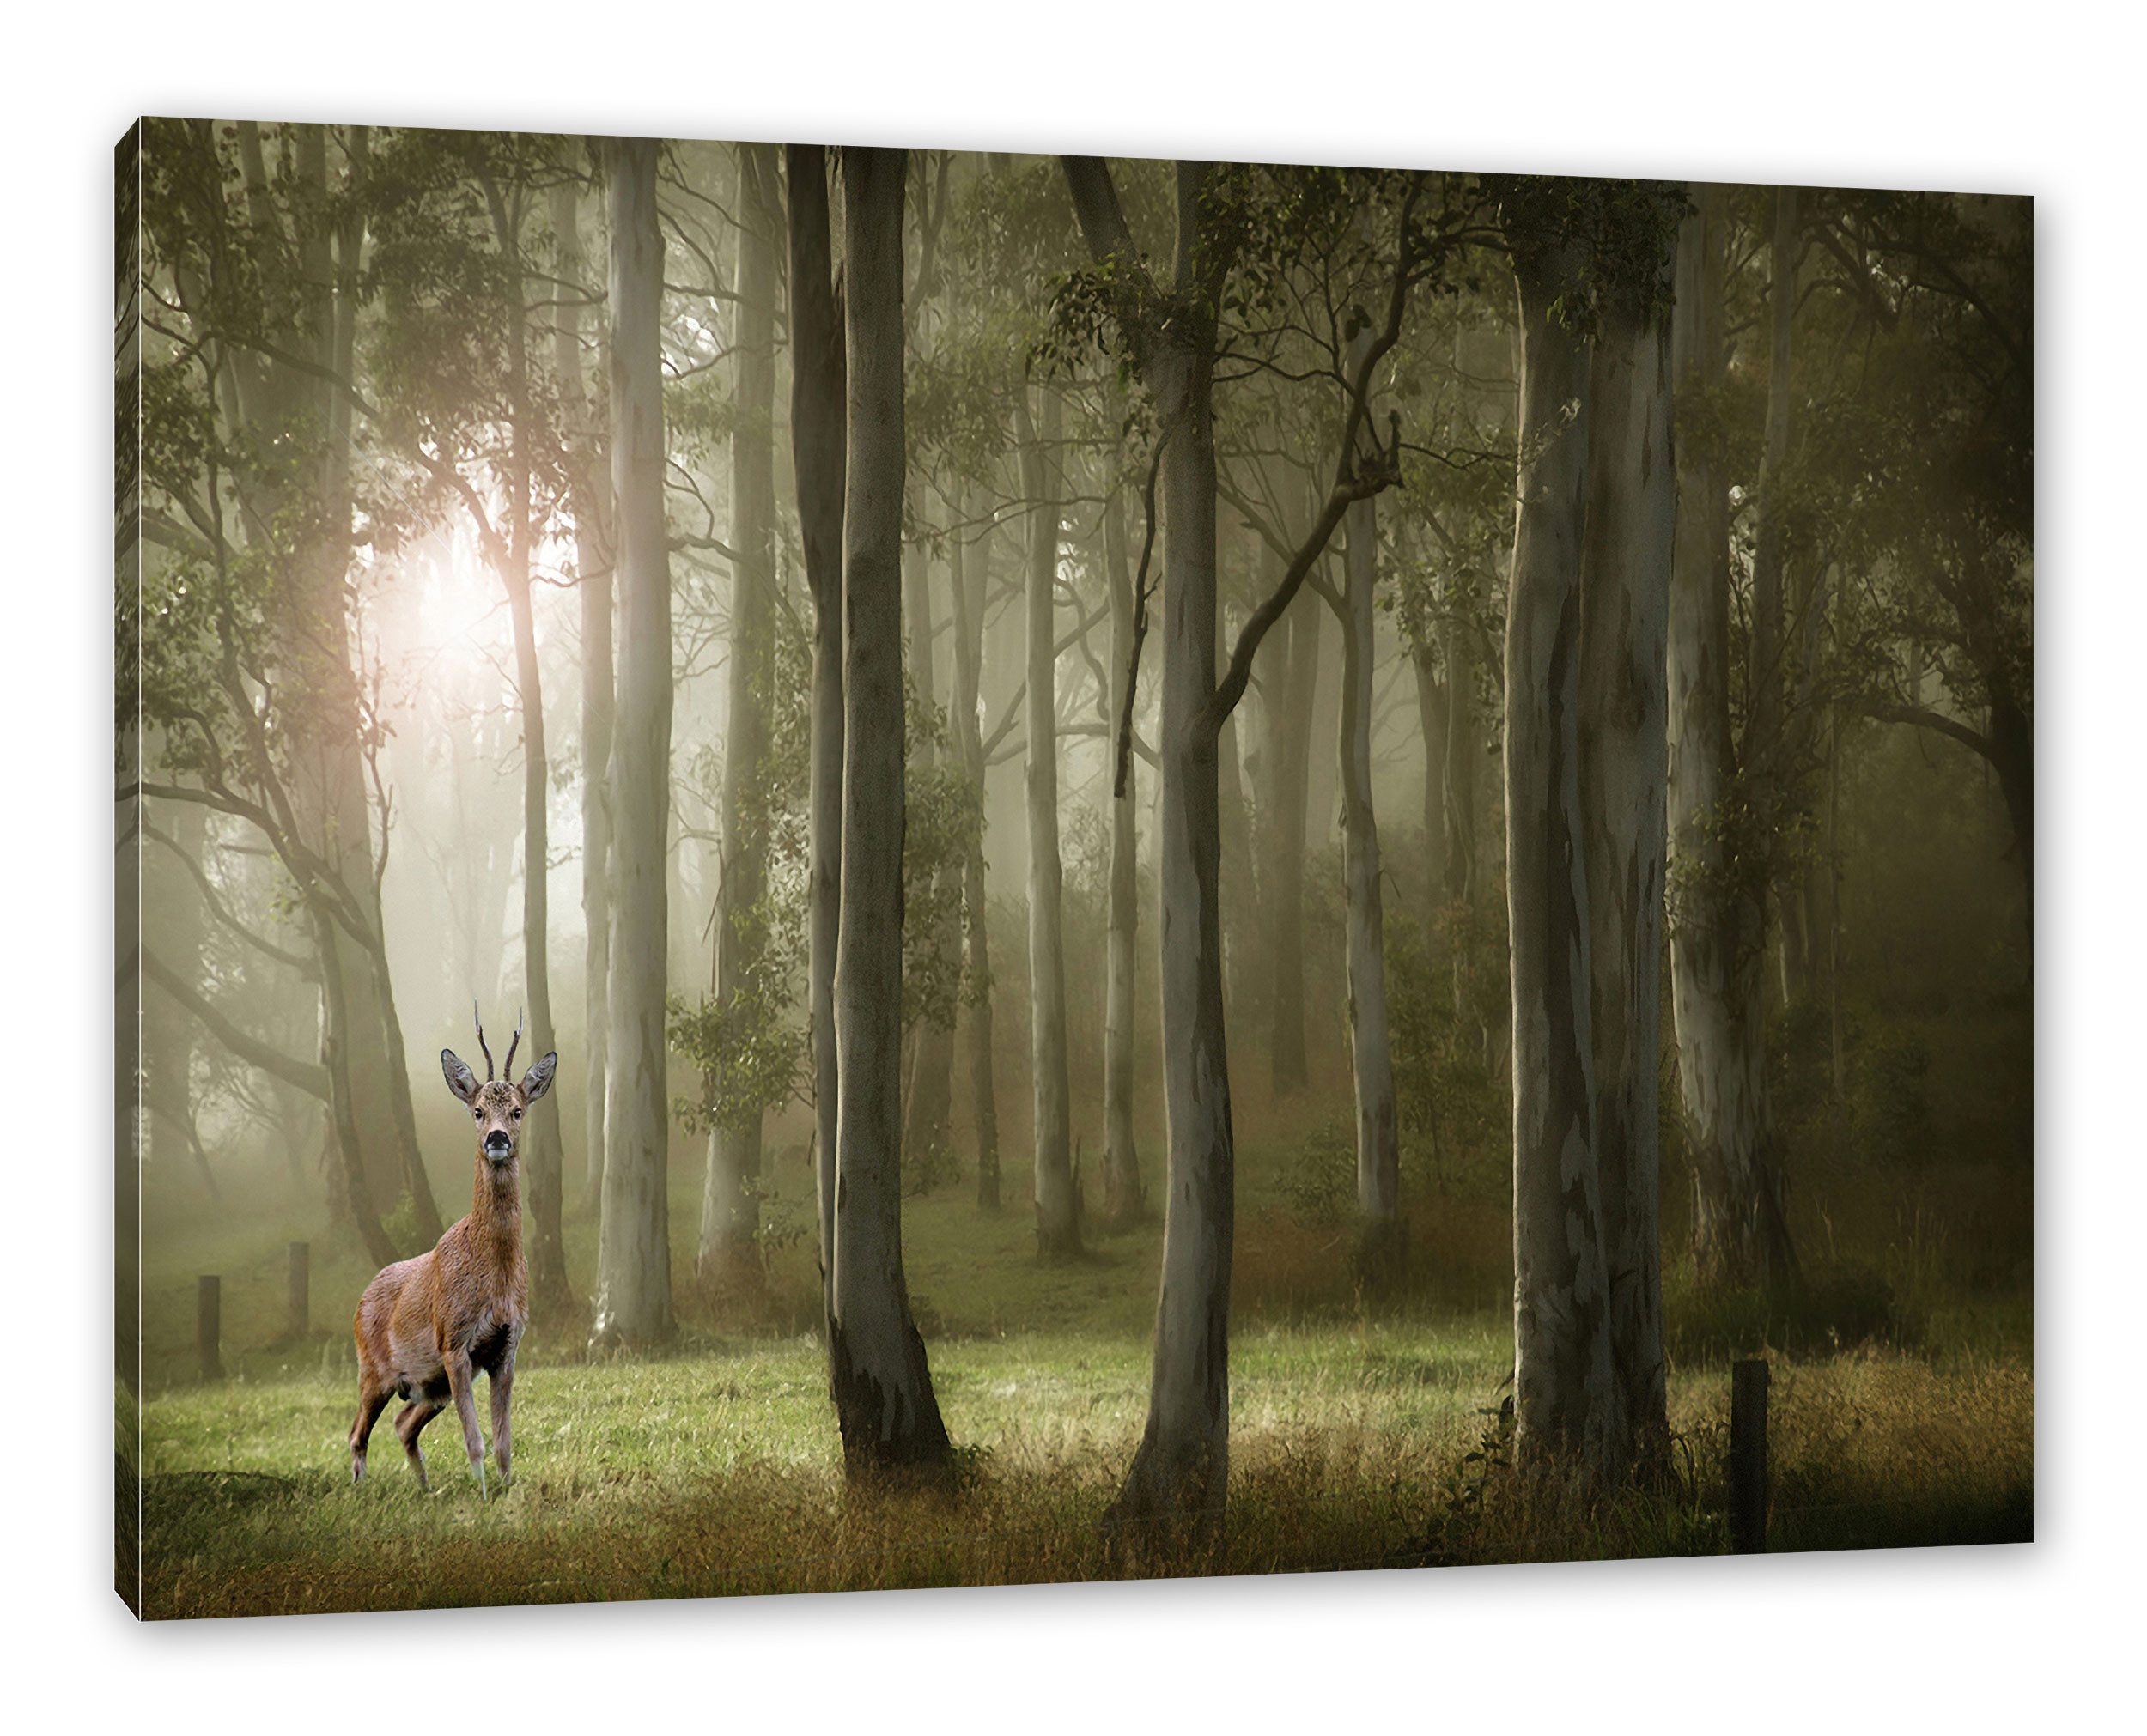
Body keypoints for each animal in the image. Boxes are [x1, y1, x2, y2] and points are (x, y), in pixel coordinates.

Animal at [348, 1006, 556, 1499]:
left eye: (518, 1110)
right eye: (477, 1111)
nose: (497, 1138)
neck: (494, 1272)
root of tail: (359, 1300)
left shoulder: (507, 1345)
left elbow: (503, 1440)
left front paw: (506, 1489)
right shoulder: (454, 1341)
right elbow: (474, 1440)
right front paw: (482, 1497)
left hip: (428, 1385)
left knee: (403, 1425)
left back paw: (425, 1490)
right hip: (374, 1370)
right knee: (357, 1434)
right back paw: (359, 1492)